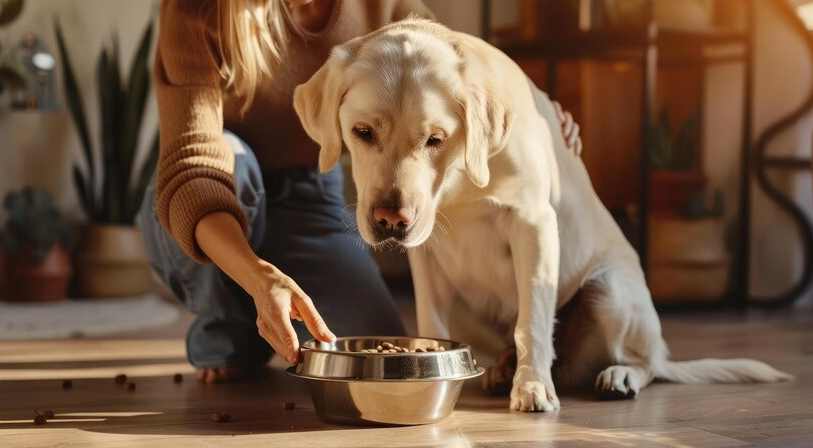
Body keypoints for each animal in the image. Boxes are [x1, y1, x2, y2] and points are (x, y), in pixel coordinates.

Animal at [294, 20, 792, 412]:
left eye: (435, 139)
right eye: (362, 132)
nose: (390, 222)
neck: (457, 184)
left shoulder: (533, 223)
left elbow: (531, 320)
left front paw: (533, 387)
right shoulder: (426, 253)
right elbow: (432, 322)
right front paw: (430, 365)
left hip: (610, 291)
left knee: (646, 362)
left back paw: (617, 375)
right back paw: (501, 370)